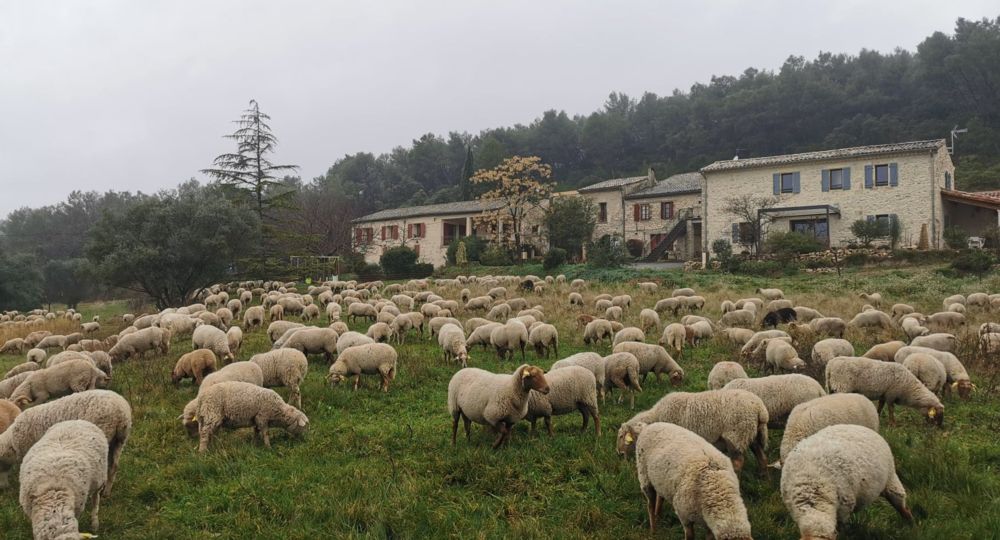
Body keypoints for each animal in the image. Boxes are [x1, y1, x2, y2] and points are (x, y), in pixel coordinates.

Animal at [0, 390, 131, 495]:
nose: (3, 488)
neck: (12, 440)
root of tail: (121, 413)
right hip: (119, 441)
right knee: (113, 466)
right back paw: (106, 492)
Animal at [617, 389, 769, 472]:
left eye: (621, 436)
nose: (619, 454)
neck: (657, 416)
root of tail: (760, 409)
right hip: (753, 435)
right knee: (762, 456)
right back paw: (763, 480)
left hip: (736, 436)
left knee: (738, 462)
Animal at [781, 425, 913, 539]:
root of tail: (860, 427)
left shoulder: (844, 508)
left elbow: (842, 529)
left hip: (891, 479)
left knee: (902, 506)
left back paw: (911, 525)